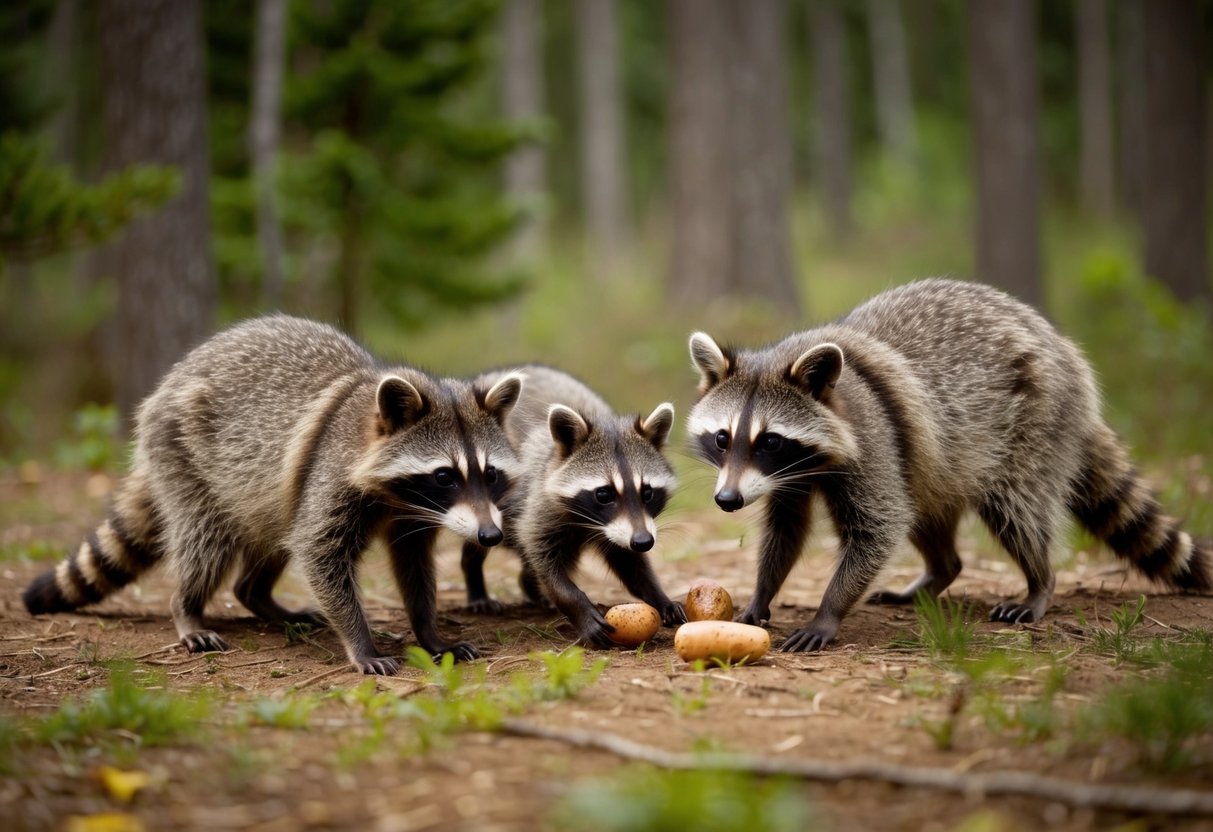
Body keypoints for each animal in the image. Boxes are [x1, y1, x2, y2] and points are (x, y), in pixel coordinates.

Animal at [24, 315, 523, 675]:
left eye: (490, 474)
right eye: (444, 476)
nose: (489, 535)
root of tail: (165, 386)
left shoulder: (414, 515)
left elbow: (413, 564)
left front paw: (428, 631)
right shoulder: (329, 474)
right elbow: (319, 553)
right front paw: (360, 640)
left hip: (260, 493)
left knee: (275, 535)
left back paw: (258, 596)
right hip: (184, 455)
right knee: (207, 544)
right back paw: (187, 608)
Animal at [460, 365, 686, 646]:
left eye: (647, 493)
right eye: (604, 494)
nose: (644, 542)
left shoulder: (627, 529)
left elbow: (630, 563)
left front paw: (658, 595)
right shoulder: (539, 501)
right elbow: (545, 562)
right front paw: (578, 607)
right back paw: (475, 579)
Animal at [687, 279, 1212, 651]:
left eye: (771, 440)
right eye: (723, 438)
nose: (727, 500)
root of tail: (1062, 349)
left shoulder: (874, 438)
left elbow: (879, 526)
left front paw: (828, 610)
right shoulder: (790, 475)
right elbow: (787, 528)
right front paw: (762, 592)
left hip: (1035, 422)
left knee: (1016, 510)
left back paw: (1040, 580)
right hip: (940, 461)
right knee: (927, 512)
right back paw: (941, 569)